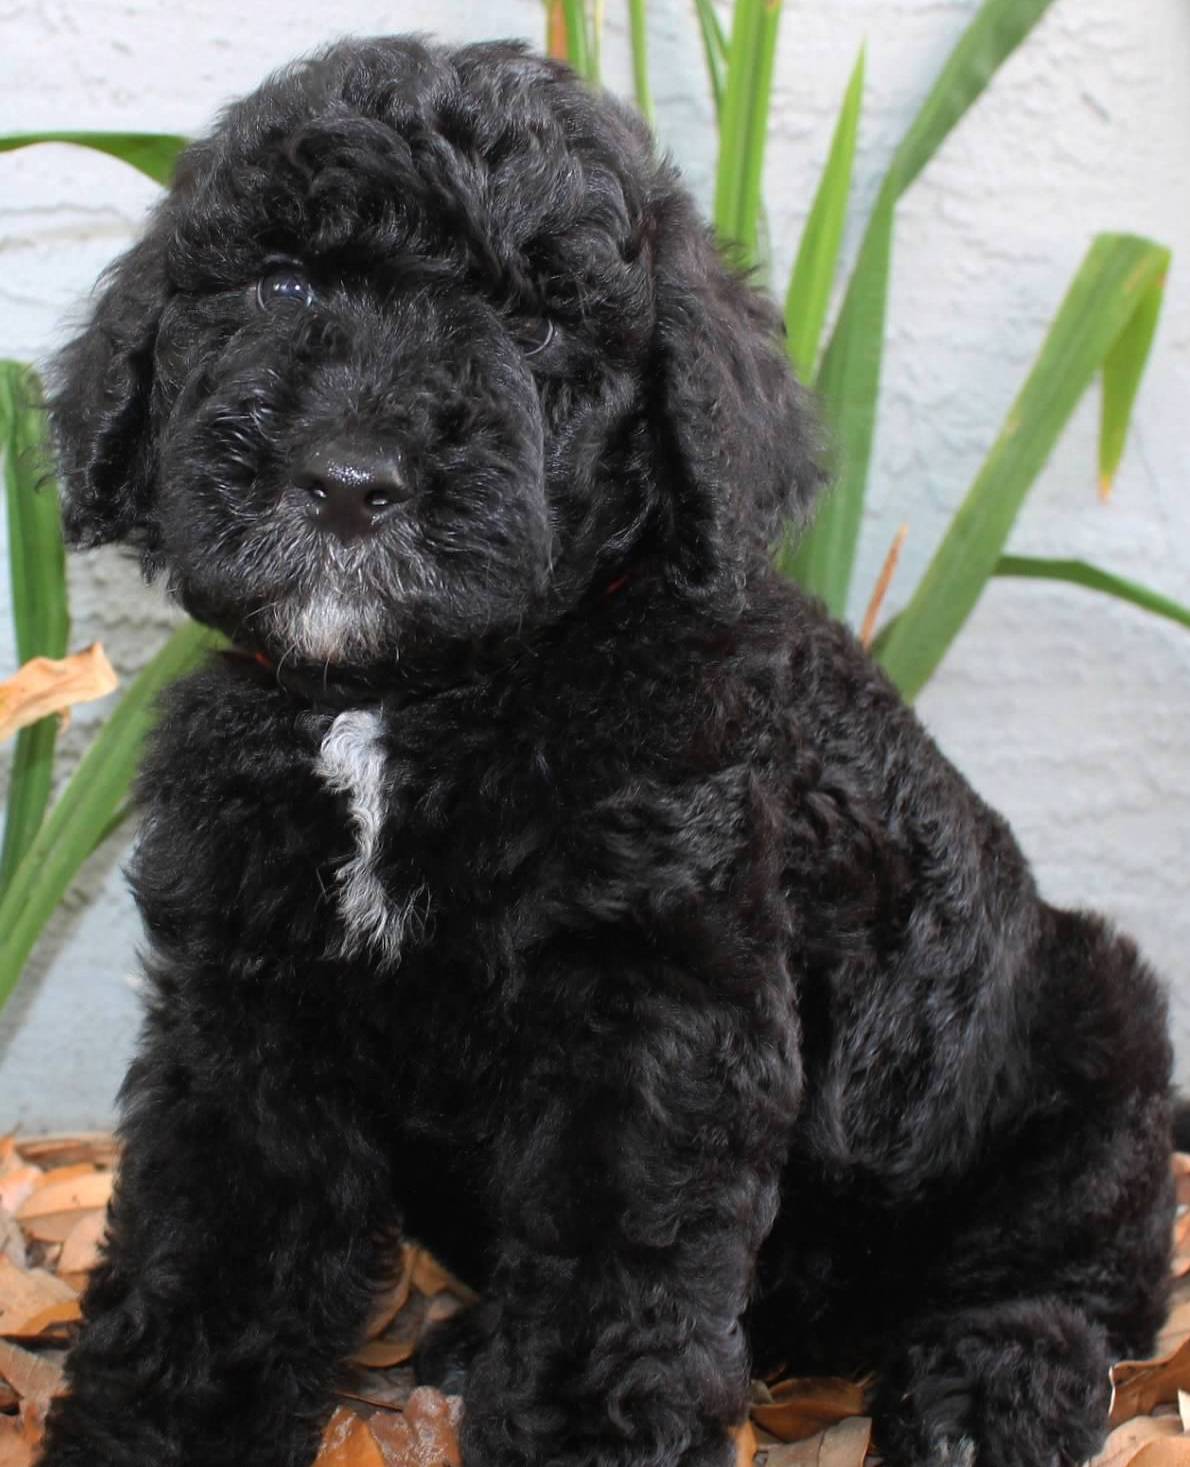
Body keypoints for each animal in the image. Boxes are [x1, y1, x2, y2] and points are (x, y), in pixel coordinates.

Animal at [34, 31, 1173, 1467]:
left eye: (533, 324)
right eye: (281, 284)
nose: (347, 480)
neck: (407, 701)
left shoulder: (651, 1024)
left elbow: (609, 1282)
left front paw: (583, 1432)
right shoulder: (247, 1014)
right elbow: (212, 1254)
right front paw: (156, 1427)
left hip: (1083, 1042)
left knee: (1067, 1266)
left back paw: (989, 1387)